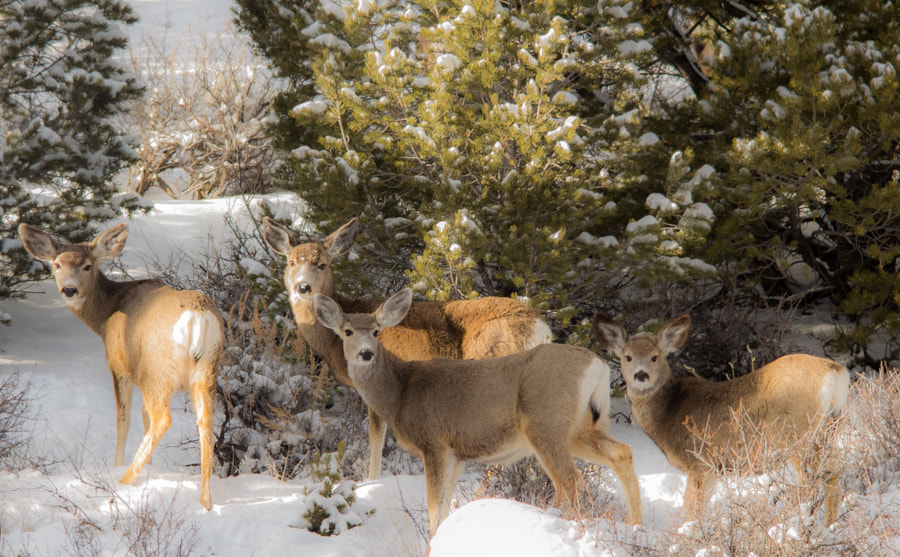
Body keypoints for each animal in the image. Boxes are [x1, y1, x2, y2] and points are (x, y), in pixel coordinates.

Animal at [18, 222, 224, 510]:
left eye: (87, 266)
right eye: (57, 264)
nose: (69, 290)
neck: (108, 312)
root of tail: (198, 318)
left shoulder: (120, 366)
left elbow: (123, 420)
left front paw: (119, 466)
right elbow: (143, 417)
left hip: (156, 369)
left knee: (163, 419)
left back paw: (123, 481)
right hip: (207, 368)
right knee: (204, 423)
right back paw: (205, 502)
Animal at [261, 216, 553, 480]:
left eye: (322, 264)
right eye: (291, 262)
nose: (302, 287)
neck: (333, 337)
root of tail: (540, 328)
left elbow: (376, 437)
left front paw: (372, 480)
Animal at [312, 288, 643, 536]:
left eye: (377, 332)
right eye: (347, 331)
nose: (366, 353)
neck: (400, 394)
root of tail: (598, 366)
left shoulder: (434, 443)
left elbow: (434, 508)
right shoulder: (457, 454)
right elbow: (445, 505)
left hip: (545, 424)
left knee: (570, 481)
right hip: (580, 427)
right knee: (621, 452)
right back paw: (635, 525)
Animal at [591, 312, 850, 525]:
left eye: (655, 357)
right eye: (627, 357)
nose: (641, 375)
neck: (670, 411)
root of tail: (836, 372)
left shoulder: (699, 462)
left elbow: (692, 510)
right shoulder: (714, 470)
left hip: (796, 434)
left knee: (811, 483)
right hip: (828, 430)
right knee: (832, 477)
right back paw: (829, 527)